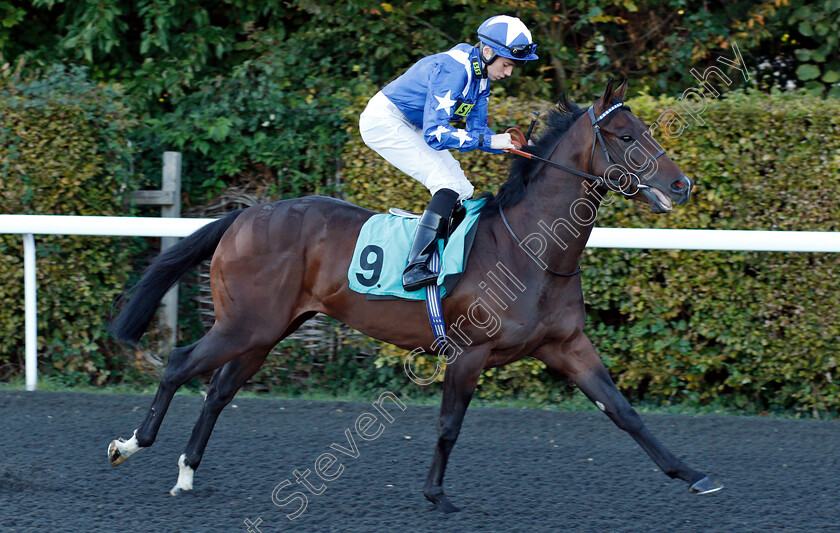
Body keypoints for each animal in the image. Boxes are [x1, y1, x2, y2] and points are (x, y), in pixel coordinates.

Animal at [105, 79, 720, 512]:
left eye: (647, 130)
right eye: (625, 137)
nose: (682, 184)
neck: (533, 248)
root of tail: (245, 214)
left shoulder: (567, 345)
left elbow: (624, 412)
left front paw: (694, 475)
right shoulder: (469, 352)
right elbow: (449, 425)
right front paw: (436, 495)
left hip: (267, 329)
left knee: (219, 389)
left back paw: (187, 472)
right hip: (245, 324)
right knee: (180, 364)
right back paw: (131, 446)